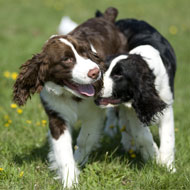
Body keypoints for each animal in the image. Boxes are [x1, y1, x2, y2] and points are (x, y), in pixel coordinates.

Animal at [12, 7, 127, 189]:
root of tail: (106, 18)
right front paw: (69, 180)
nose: (96, 72)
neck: (70, 95)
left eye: (85, 53)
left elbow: (85, 139)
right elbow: (63, 149)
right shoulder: (56, 116)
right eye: (66, 59)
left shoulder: (93, 115)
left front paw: (78, 160)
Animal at [95, 18, 177, 171]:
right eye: (103, 69)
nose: (94, 84)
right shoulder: (132, 109)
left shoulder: (166, 103)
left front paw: (167, 166)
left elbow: (168, 137)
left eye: (119, 75)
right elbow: (141, 134)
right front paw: (152, 156)